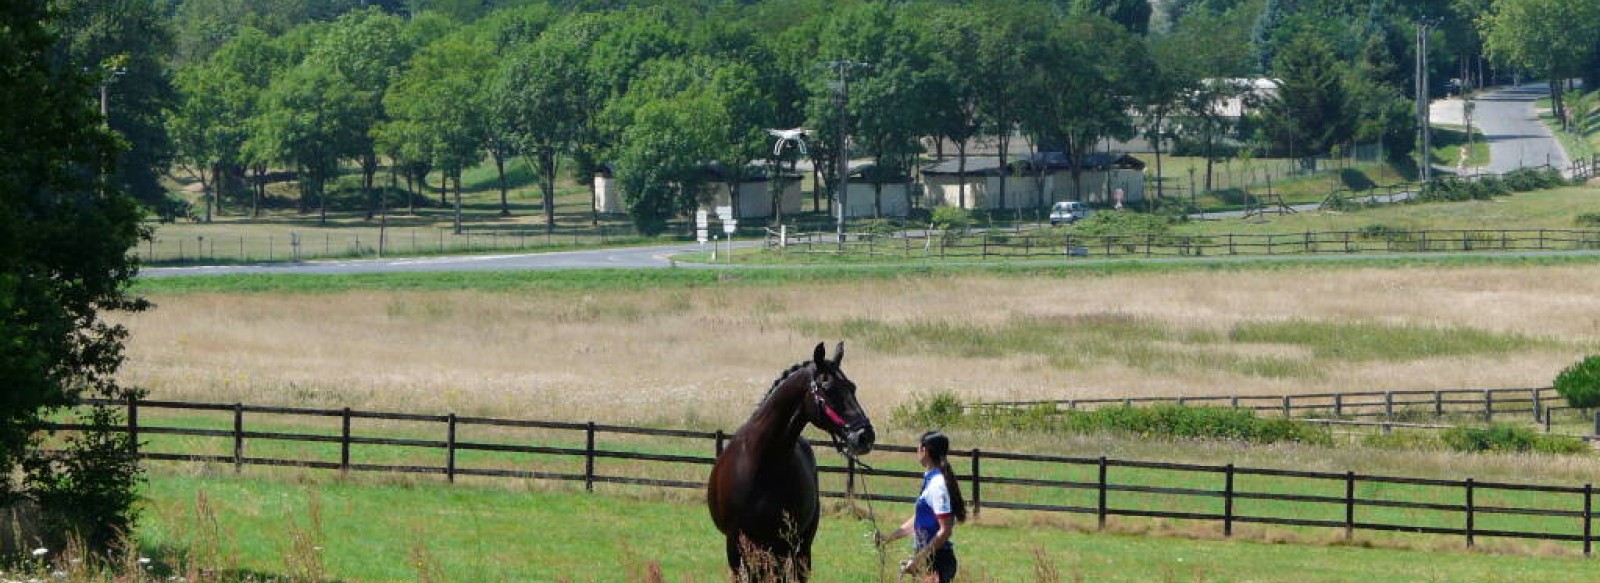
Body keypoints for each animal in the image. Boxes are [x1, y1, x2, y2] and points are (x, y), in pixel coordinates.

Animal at [707, 341, 876, 583]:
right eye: (828, 388)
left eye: (852, 387)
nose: (865, 436)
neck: (763, 462)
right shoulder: (736, 544)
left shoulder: (784, 540)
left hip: (799, 547)